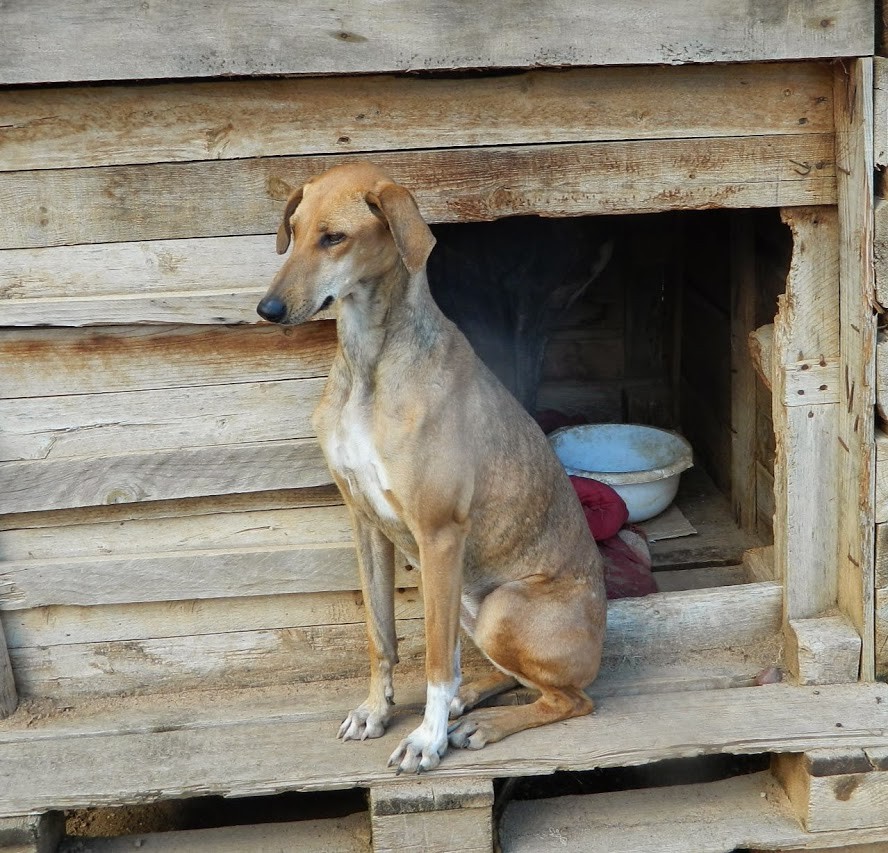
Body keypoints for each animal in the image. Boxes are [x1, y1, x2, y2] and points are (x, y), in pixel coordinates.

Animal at [253, 161, 608, 772]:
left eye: (334, 237)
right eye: (293, 232)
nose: (267, 310)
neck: (369, 365)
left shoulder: (439, 534)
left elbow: (437, 663)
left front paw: (426, 739)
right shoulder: (365, 522)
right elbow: (381, 636)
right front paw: (376, 711)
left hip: (500, 608)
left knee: (570, 699)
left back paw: (484, 724)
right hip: (471, 607)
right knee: (507, 676)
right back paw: (472, 702)